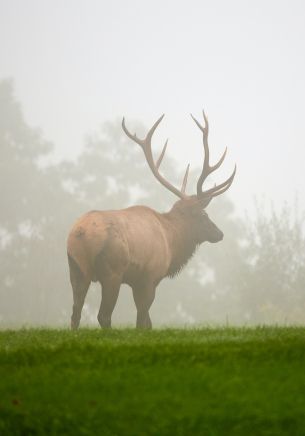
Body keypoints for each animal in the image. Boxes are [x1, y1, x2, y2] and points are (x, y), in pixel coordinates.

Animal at [67, 110, 235, 328]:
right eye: (203, 215)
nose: (219, 233)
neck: (172, 241)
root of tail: (80, 233)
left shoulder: (138, 281)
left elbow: (147, 322)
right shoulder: (149, 277)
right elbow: (143, 321)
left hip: (76, 269)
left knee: (75, 313)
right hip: (112, 271)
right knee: (103, 315)